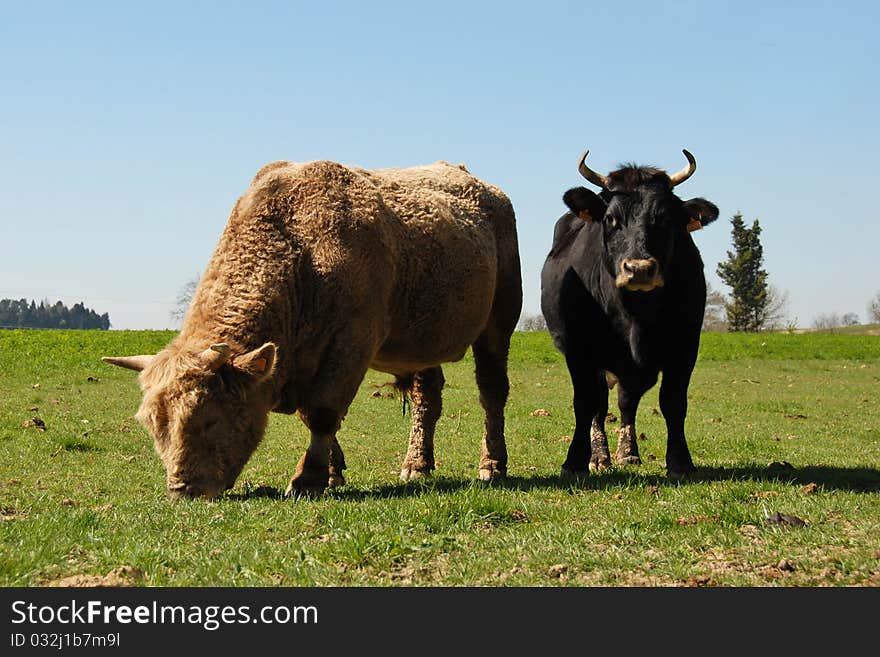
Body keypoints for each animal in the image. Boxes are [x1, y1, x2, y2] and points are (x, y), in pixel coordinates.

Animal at [102, 159, 520, 498]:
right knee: (427, 398)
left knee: (492, 392)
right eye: (152, 424)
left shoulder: (352, 343)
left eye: (209, 416)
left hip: (499, 322)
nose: (182, 489)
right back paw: (417, 464)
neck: (302, 248)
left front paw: (310, 478)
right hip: (420, 342)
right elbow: (312, 416)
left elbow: (322, 411)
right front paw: (332, 472)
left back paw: (492, 465)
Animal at [540, 149, 720, 476]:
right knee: (600, 403)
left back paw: (627, 452)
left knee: (626, 401)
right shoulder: (579, 350)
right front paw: (576, 461)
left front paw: (680, 461)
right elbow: (585, 402)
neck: (636, 316)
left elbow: (673, 401)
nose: (639, 269)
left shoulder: (686, 345)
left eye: (664, 218)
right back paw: (600, 455)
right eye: (611, 218)